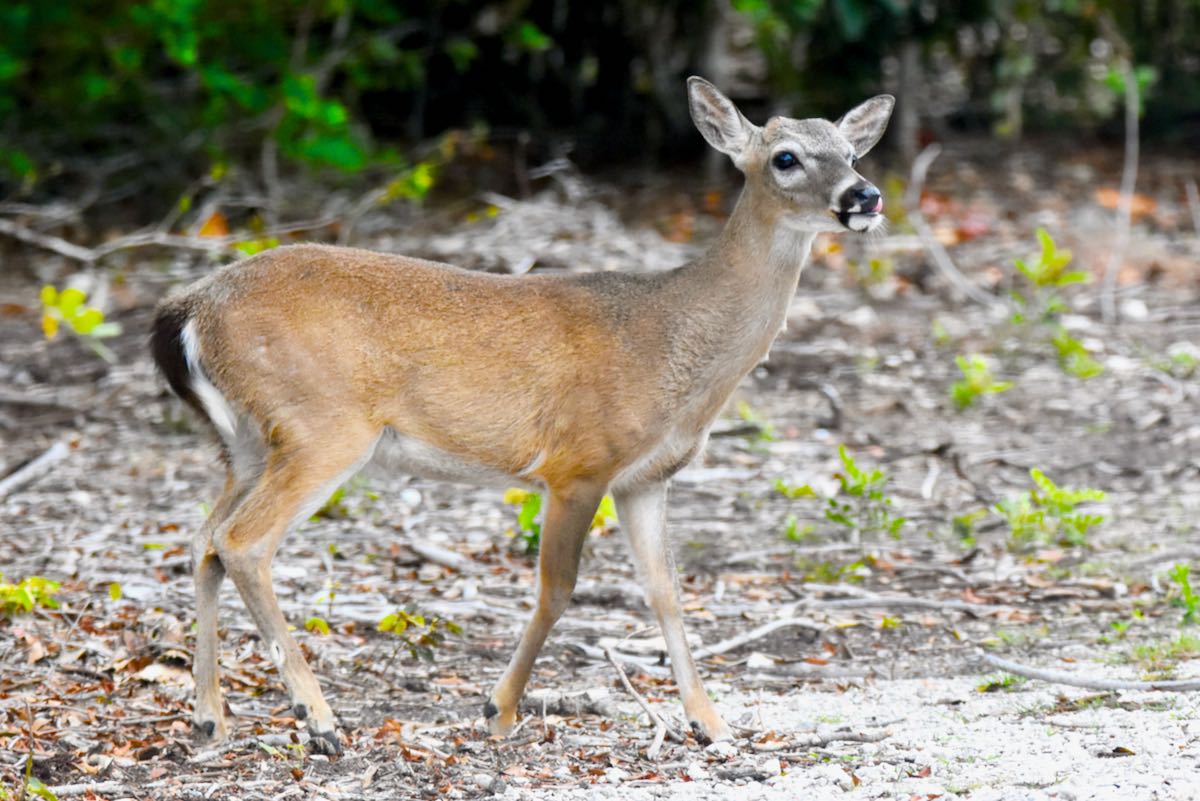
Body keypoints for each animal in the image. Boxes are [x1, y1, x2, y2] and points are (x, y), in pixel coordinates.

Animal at [150, 76, 892, 754]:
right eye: (786, 157)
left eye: (853, 151)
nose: (865, 196)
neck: (668, 340)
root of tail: (188, 310)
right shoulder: (579, 462)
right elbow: (558, 589)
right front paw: (498, 710)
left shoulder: (645, 478)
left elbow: (666, 590)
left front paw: (710, 724)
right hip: (322, 427)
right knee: (243, 541)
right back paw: (320, 718)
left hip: (248, 440)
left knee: (204, 539)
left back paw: (210, 717)